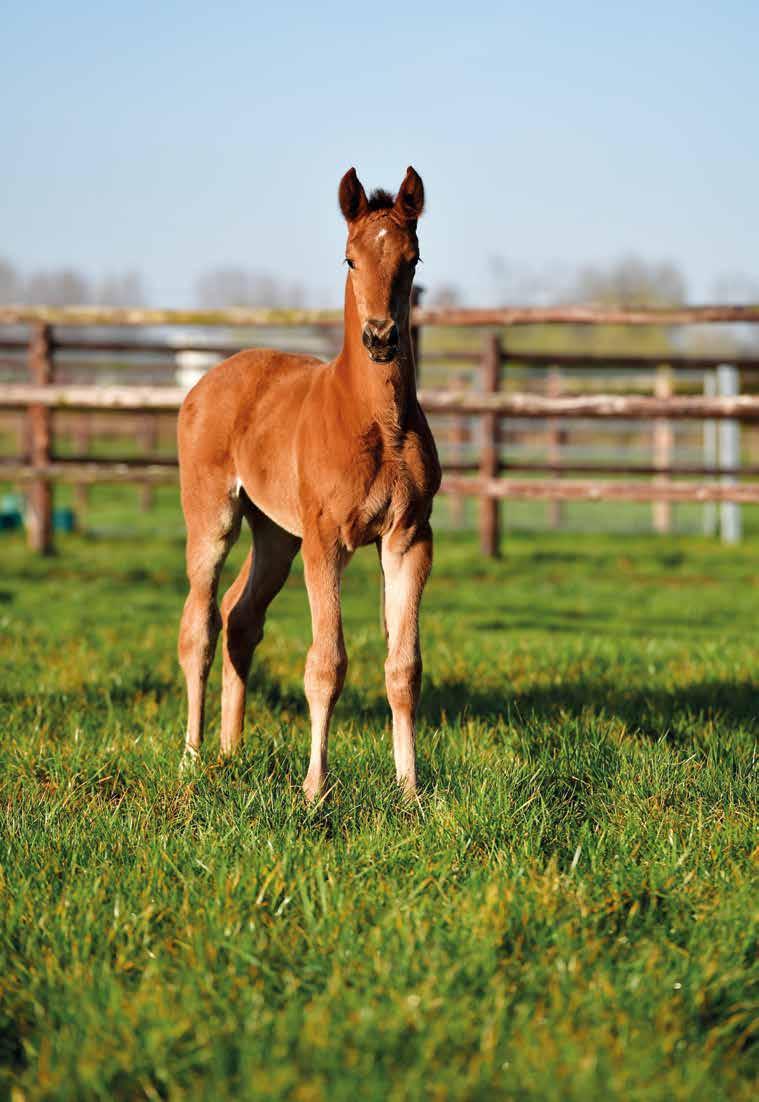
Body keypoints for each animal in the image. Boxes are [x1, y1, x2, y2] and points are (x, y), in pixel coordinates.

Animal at [177, 165, 438, 802]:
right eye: (349, 258)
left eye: (413, 258)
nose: (380, 337)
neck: (379, 423)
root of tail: (204, 384)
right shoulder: (327, 542)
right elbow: (326, 664)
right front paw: (314, 788)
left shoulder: (409, 539)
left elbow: (404, 668)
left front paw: (411, 790)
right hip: (214, 519)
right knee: (199, 624)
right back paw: (192, 757)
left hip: (275, 533)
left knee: (239, 617)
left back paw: (230, 750)